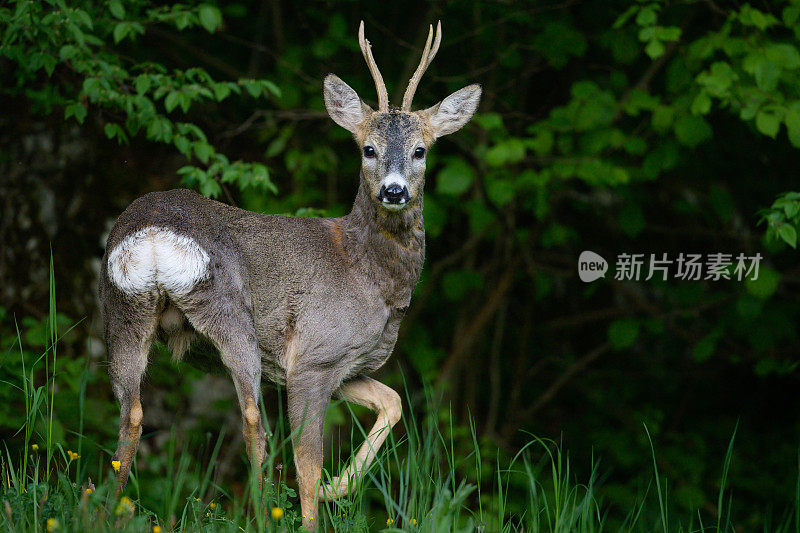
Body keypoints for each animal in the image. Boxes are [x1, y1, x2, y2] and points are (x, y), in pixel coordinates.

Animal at [97, 18, 478, 524]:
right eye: (368, 149)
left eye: (420, 150)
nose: (394, 191)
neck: (370, 276)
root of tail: (154, 235)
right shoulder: (314, 357)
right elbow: (308, 464)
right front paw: (322, 501)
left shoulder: (345, 365)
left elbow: (393, 401)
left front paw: (342, 486)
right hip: (228, 310)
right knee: (253, 420)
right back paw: (260, 514)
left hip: (124, 309)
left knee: (131, 416)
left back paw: (103, 511)